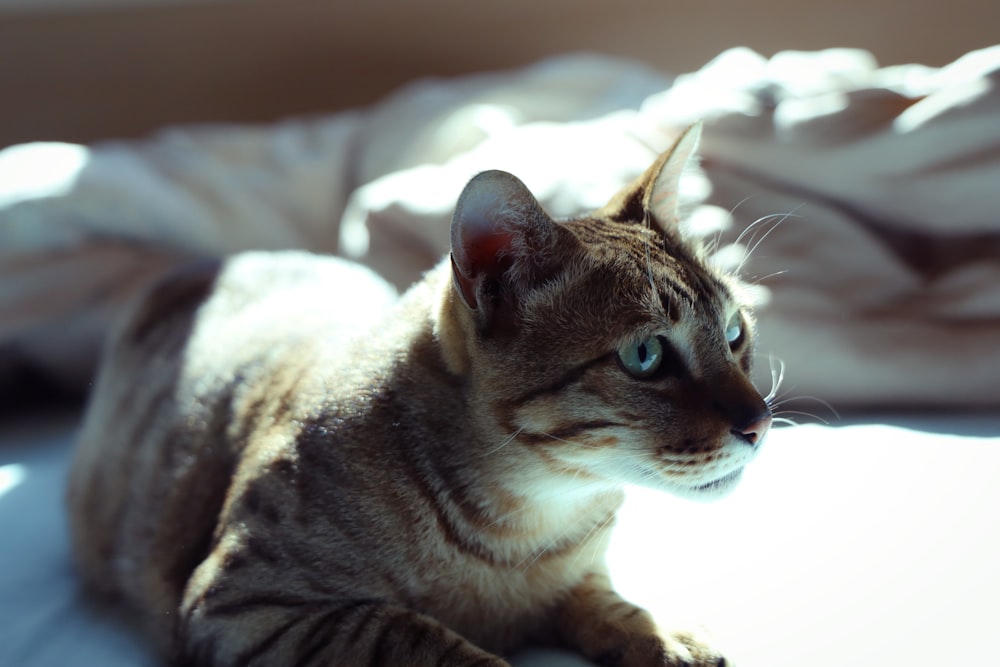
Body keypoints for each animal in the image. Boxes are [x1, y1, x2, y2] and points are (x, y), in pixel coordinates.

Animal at [68, 122, 772, 664]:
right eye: (645, 356)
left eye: (735, 333)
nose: (761, 423)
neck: (527, 523)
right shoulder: (244, 605)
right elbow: (412, 635)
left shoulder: (578, 571)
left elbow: (605, 602)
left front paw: (661, 634)